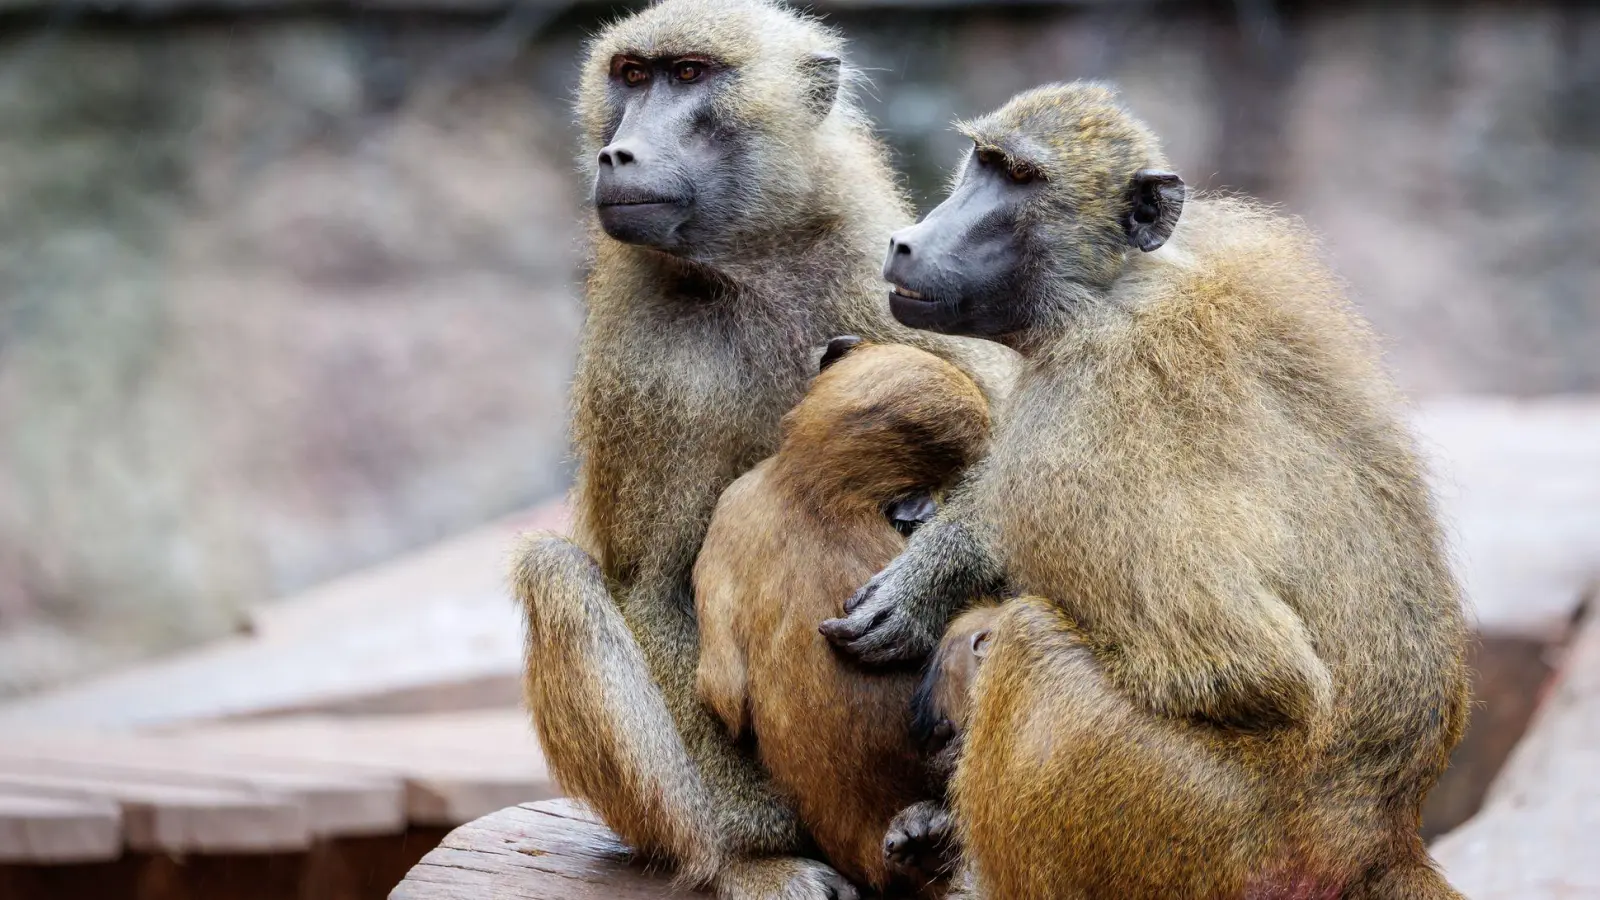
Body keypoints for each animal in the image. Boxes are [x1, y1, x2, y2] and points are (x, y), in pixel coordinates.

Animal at [821, 82, 1470, 899]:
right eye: (982, 162)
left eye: (1022, 178)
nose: (907, 242)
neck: (1111, 289)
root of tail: (1380, 836)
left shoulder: (1078, 426)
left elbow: (1251, 672)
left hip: (1204, 830)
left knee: (1030, 646)